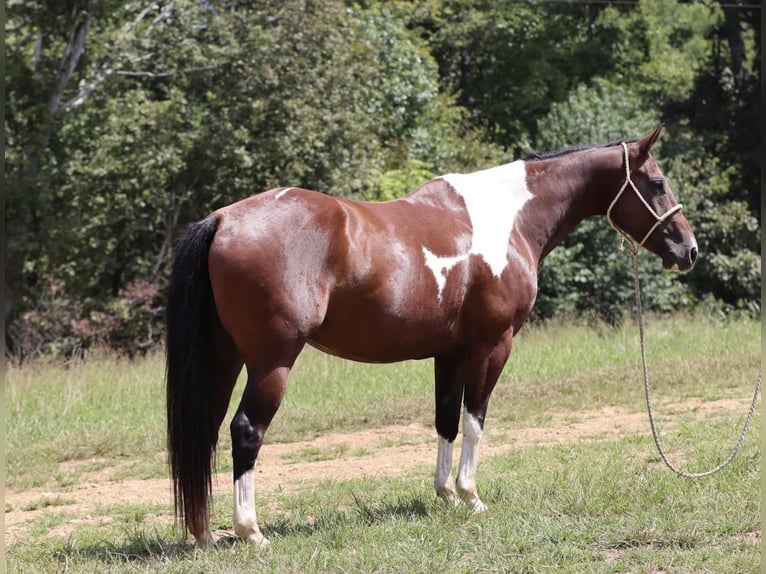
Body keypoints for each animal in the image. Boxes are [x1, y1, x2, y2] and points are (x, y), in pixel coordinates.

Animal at [165, 126, 700, 548]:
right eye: (657, 182)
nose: (689, 250)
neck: (506, 218)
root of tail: (224, 219)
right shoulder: (492, 346)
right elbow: (475, 420)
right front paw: (471, 496)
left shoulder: (449, 353)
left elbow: (445, 420)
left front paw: (445, 497)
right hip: (271, 361)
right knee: (245, 430)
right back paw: (251, 532)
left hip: (224, 358)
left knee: (206, 430)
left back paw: (205, 533)